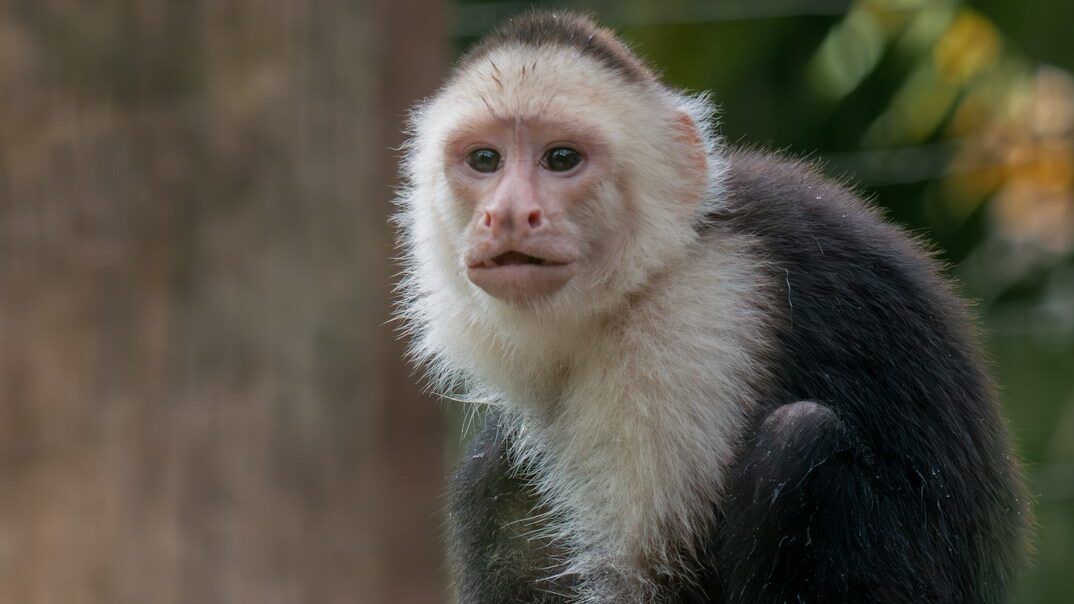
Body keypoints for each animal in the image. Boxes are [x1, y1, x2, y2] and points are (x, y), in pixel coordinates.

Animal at [394, 11, 1030, 603]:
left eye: (561, 159)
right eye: (485, 160)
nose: (507, 214)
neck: (654, 269)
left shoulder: (693, 320)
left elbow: (653, 579)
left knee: (797, 444)